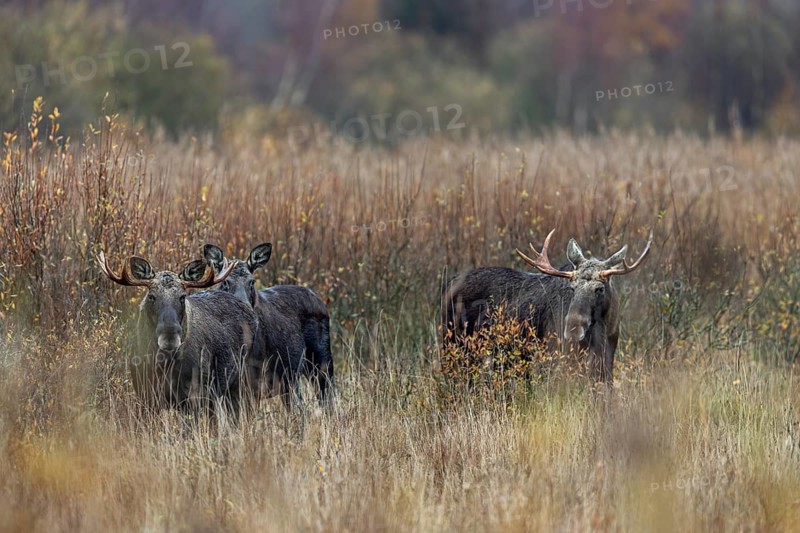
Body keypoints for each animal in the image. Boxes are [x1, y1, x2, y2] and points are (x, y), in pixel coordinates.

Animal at [441, 229, 652, 382]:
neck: (606, 327)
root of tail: (449, 283)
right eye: (572, 287)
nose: (573, 329)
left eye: (599, 288)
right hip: (451, 342)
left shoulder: (607, 356)